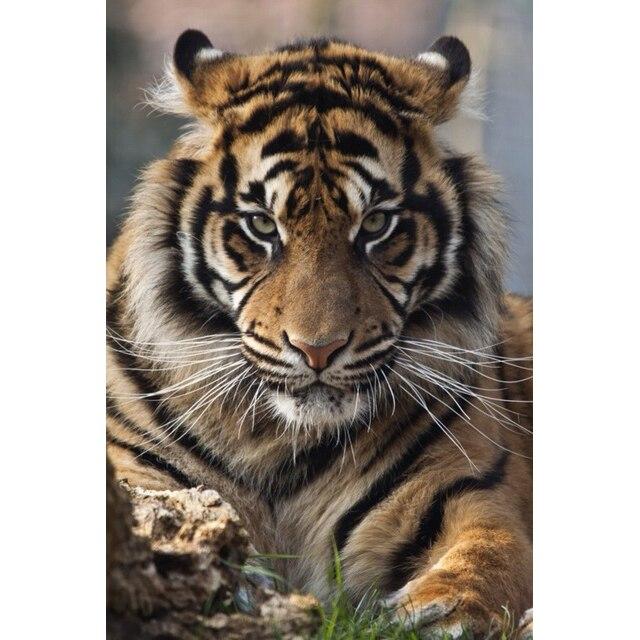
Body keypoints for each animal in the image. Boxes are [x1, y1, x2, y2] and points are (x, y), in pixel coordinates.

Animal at [107, 30, 533, 638]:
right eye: (262, 225)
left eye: (376, 224)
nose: (317, 350)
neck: (276, 440)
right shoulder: (135, 471)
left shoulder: (468, 490)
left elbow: (489, 555)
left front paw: (436, 613)